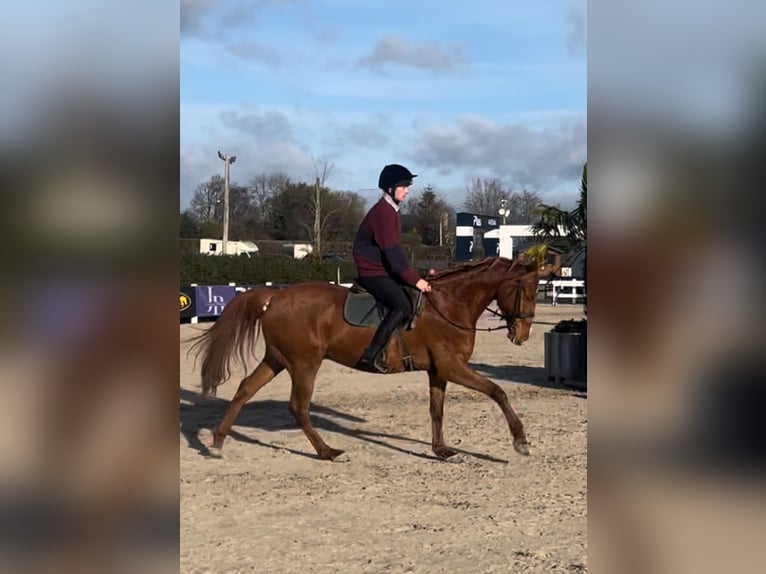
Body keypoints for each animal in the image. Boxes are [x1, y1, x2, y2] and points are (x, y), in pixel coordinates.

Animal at [190, 256, 546, 461]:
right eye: (527, 291)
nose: (522, 335)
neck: (449, 303)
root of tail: (276, 296)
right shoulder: (453, 367)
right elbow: (497, 391)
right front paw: (521, 441)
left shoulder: (439, 371)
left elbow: (437, 411)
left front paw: (442, 451)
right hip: (305, 365)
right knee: (298, 408)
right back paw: (327, 452)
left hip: (278, 359)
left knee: (245, 389)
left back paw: (217, 442)